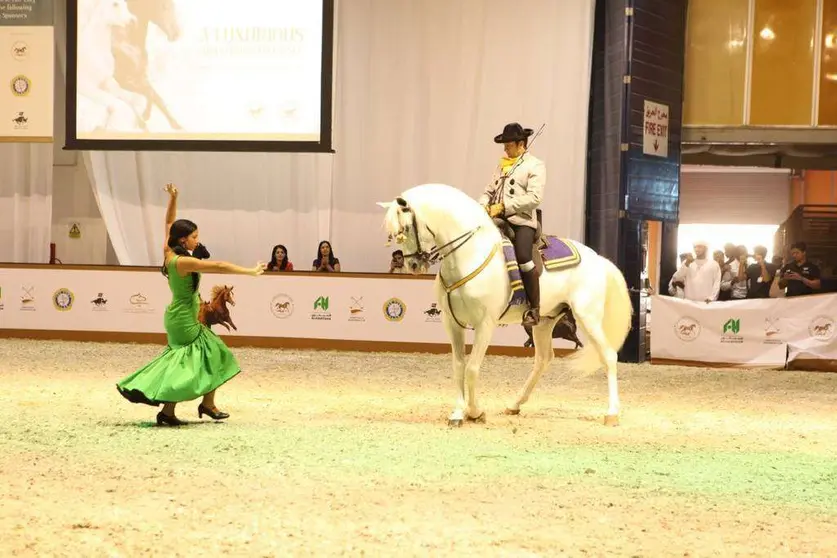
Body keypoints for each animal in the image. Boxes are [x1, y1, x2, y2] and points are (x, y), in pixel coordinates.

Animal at [376, 184, 632, 428]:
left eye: (405, 229)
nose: (413, 265)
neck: (469, 255)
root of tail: (599, 259)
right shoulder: (452, 323)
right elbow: (459, 366)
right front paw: (458, 413)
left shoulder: (485, 324)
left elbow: (472, 368)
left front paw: (475, 413)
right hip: (544, 321)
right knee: (543, 359)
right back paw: (514, 405)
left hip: (587, 316)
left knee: (608, 356)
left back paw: (612, 413)